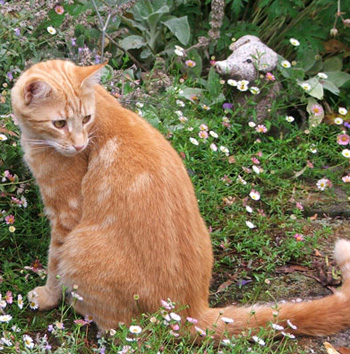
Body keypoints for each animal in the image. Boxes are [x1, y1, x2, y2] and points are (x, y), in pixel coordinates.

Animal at [10, 59, 350, 338]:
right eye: (60, 123)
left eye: (86, 118)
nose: (80, 146)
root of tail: (191, 311)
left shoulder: (66, 215)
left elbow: (53, 261)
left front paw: (47, 297)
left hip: (80, 248)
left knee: (120, 328)